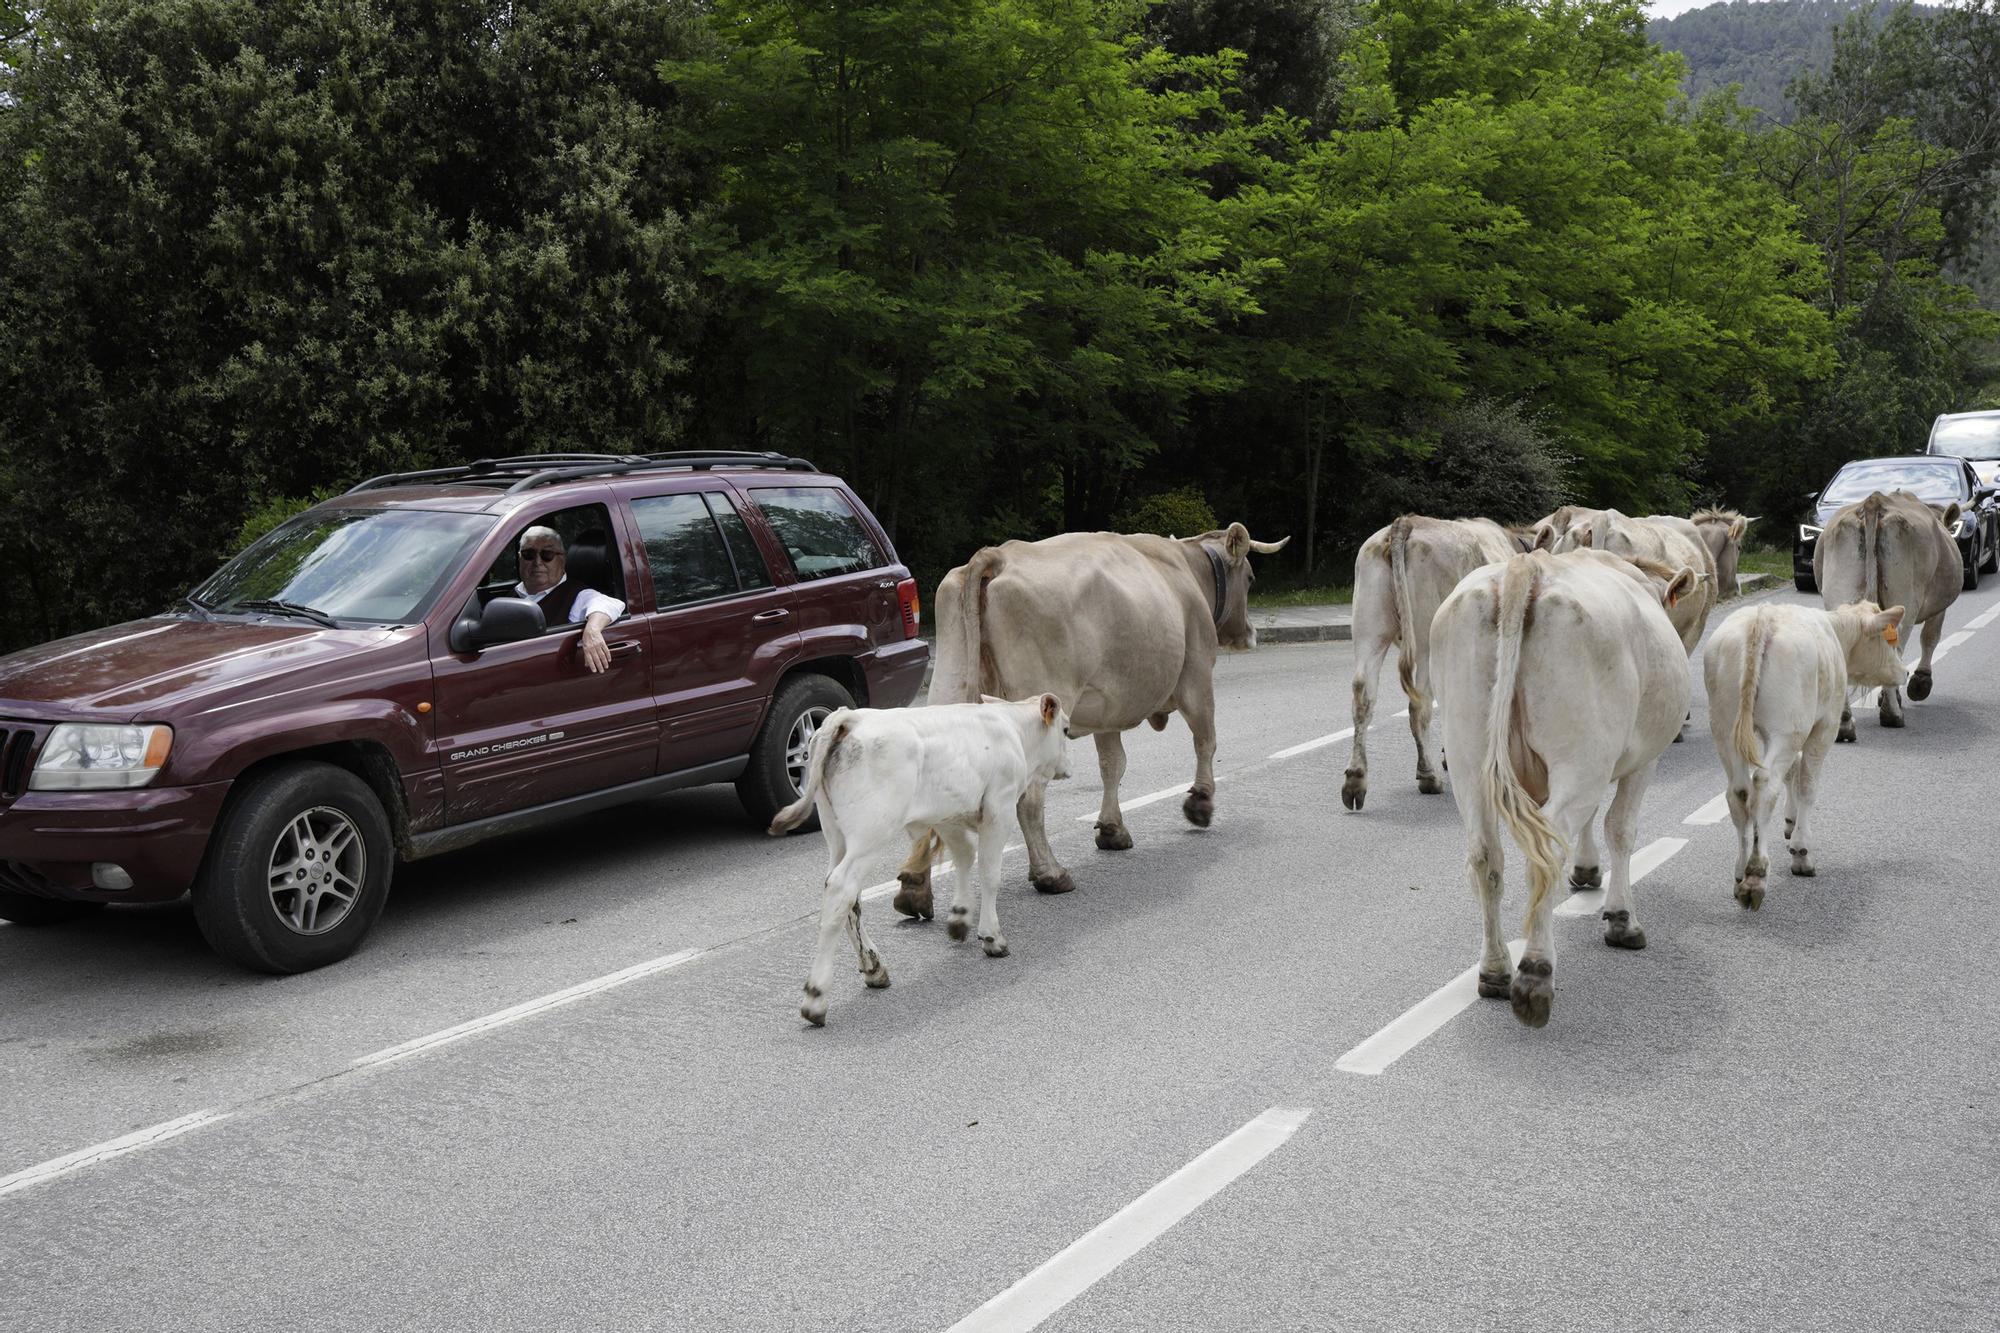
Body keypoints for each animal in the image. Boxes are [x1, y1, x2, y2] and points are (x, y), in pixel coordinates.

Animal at [768, 688, 1080, 1020]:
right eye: (1065, 729)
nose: (1067, 766)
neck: (1013, 730)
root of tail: (850, 718)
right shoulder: (1000, 808)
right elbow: (989, 872)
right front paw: (992, 936)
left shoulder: (948, 815)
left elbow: (964, 857)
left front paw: (960, 917)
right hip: (871, 834)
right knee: (841, 889)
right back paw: (816, 996)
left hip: (837, 835)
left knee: (847, 897)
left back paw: (874, 968)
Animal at [1352, 512, 1520, 808]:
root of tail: (1405, 522)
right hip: (1427, 643)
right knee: (1420, 705)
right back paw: (1428, 776)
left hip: (1368, 628)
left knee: (1363, 693)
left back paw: (1355, 781)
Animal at [1432, 544, 1696, 1020]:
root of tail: (1526, 567)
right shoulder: (1642, 760)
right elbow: (1620, 829)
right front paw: (1621, 919)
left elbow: (1592, 822)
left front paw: (1586, 871)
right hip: (1581, 758)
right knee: (1544, 854)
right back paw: (1535, 975)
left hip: (1467, 758)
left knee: (1486, 856)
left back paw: (1495, 970)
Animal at [1704, 600, 1904, 904]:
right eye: (1888, 638)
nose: (1904, 672)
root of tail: (1763, 617)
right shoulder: (1824, 726)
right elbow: (1807, 785)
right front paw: (1801, 851)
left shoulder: (1766, 734)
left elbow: (1792, 773)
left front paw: (1790, 821)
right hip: (1788, 729)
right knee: (1765, 785)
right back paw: (1756, 873)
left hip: (1726, 728)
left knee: (1739, 792)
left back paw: (1740, 871)